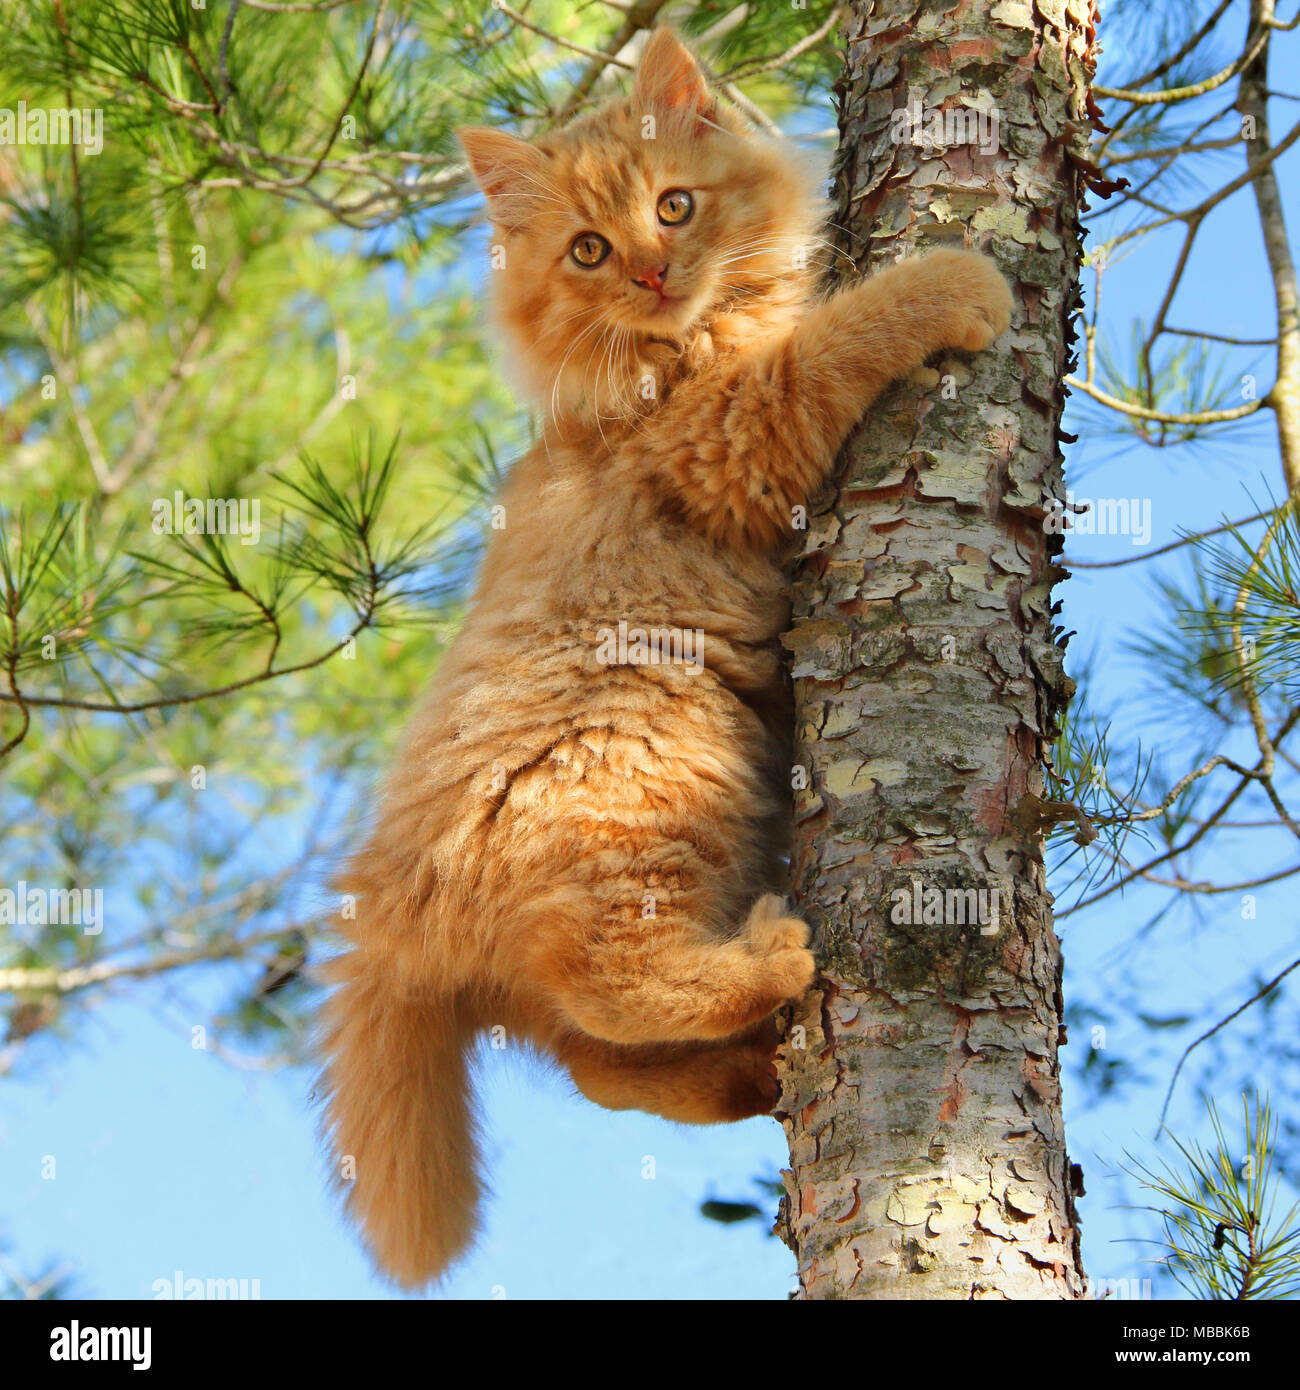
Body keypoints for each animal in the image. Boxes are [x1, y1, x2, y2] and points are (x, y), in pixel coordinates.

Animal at [319, 24, 1012, 1289]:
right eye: (589, 249)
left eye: (674, 207)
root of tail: (388, 907)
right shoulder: (735, 433)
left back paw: (750, 1066)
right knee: (614, 985)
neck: (682, 341)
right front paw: (949, 282)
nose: (648, 271)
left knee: (595, 1062)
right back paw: (771, 968)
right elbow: (837, 337)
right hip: (651, 761)